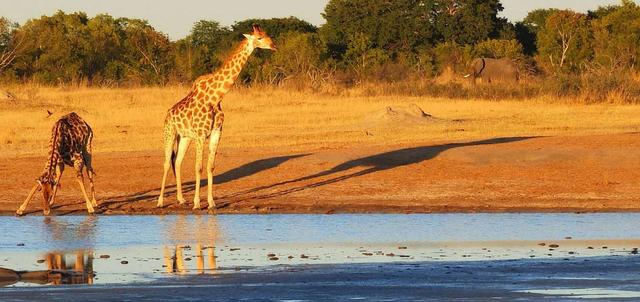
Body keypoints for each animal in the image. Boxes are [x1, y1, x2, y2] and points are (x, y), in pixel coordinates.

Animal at [159, 24, 276, 210]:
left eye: (267, 35)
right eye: (259, 38)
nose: (273, 46)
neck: (216, 98)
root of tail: (168, 114)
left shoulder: (216, 133)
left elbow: (210, 166)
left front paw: (211, 202)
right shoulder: (201, 135)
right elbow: (198, 167)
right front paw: (197, 203)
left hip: (184, 137)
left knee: (177, 162)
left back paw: (181, 199)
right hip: (169, 133)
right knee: (165, 163)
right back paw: (160, 201)